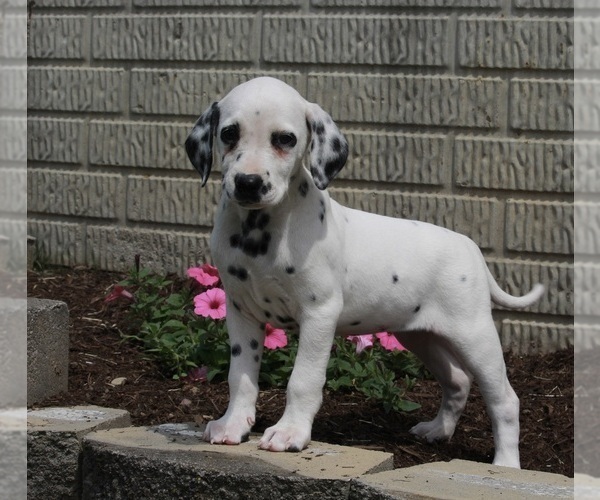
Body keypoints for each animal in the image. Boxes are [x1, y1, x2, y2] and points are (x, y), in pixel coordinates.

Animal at [184, 75, 544, 468]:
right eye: (229, 133)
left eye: (285, 139)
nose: (248, 183)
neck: (259, 231)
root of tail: (470, 247)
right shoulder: (241, 312)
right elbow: (241, 376)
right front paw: (233, 425)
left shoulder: (319, 313)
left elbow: (303, 379)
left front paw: (290, 433)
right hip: (420, 336)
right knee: (458, 381)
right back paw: (438, 431)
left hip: (474, 336)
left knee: (504, 399)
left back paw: (506, 466)